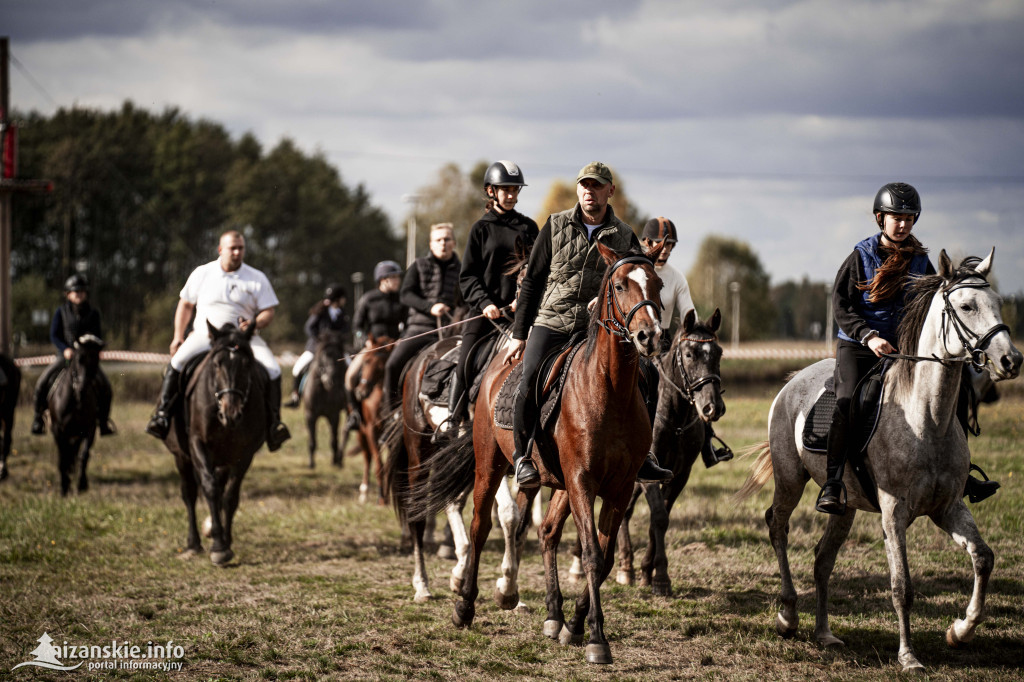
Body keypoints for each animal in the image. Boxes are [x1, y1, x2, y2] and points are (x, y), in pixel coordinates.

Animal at [46, 333, 104, 493]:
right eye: (79, 359)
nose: (81, 390)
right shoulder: (58, 430)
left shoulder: (89, 429)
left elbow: (84, 455)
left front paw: (82, 484)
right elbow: (63, 458)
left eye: (96, 360)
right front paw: (64, 486)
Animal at [164, 321, 268, 565]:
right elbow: (209, 489)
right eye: (216, 364)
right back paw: (194, 543)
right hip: (182, 456)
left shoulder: (244, 453)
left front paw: (225, 542)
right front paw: (218, 547)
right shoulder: (197, 444)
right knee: (190, 493)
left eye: (246, 364)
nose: (231, 413)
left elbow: (230, 497)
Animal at [301, 329, 350, 466]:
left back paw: (339, 458)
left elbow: (334, 439)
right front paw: (311, 463)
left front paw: (335, 461)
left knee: (345, 432)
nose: (330, 380)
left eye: (339, 356)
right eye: (323, 356)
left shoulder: (333, 415)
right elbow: (312, 440)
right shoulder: (310, 415)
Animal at [415, 241, 663, 659]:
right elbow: (591, 554)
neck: (609, 390)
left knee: (546, 532)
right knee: (480, 526)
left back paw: (554, 617)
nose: (649, 336)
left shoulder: (619, 486)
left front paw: (576, 624)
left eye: (658, 284)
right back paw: (465, 605)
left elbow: (605, 558)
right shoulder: (582, 481)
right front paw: (596, 638)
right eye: (620, 285)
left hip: (560, 484)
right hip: (491, 466)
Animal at [741, 249, 1019, 667]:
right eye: (966, 306)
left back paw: (824, 633)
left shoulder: (948, 508)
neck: (926, 420)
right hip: (790, 481)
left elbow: (983, 557)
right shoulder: (894, 513)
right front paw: (909, 656)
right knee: (777, 526)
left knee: (822, 559)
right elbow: (902, 585)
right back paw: (788, 615)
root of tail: (792, 381)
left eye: (999, 302)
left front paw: (960, 631)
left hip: (844, 505)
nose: (1011, 360)